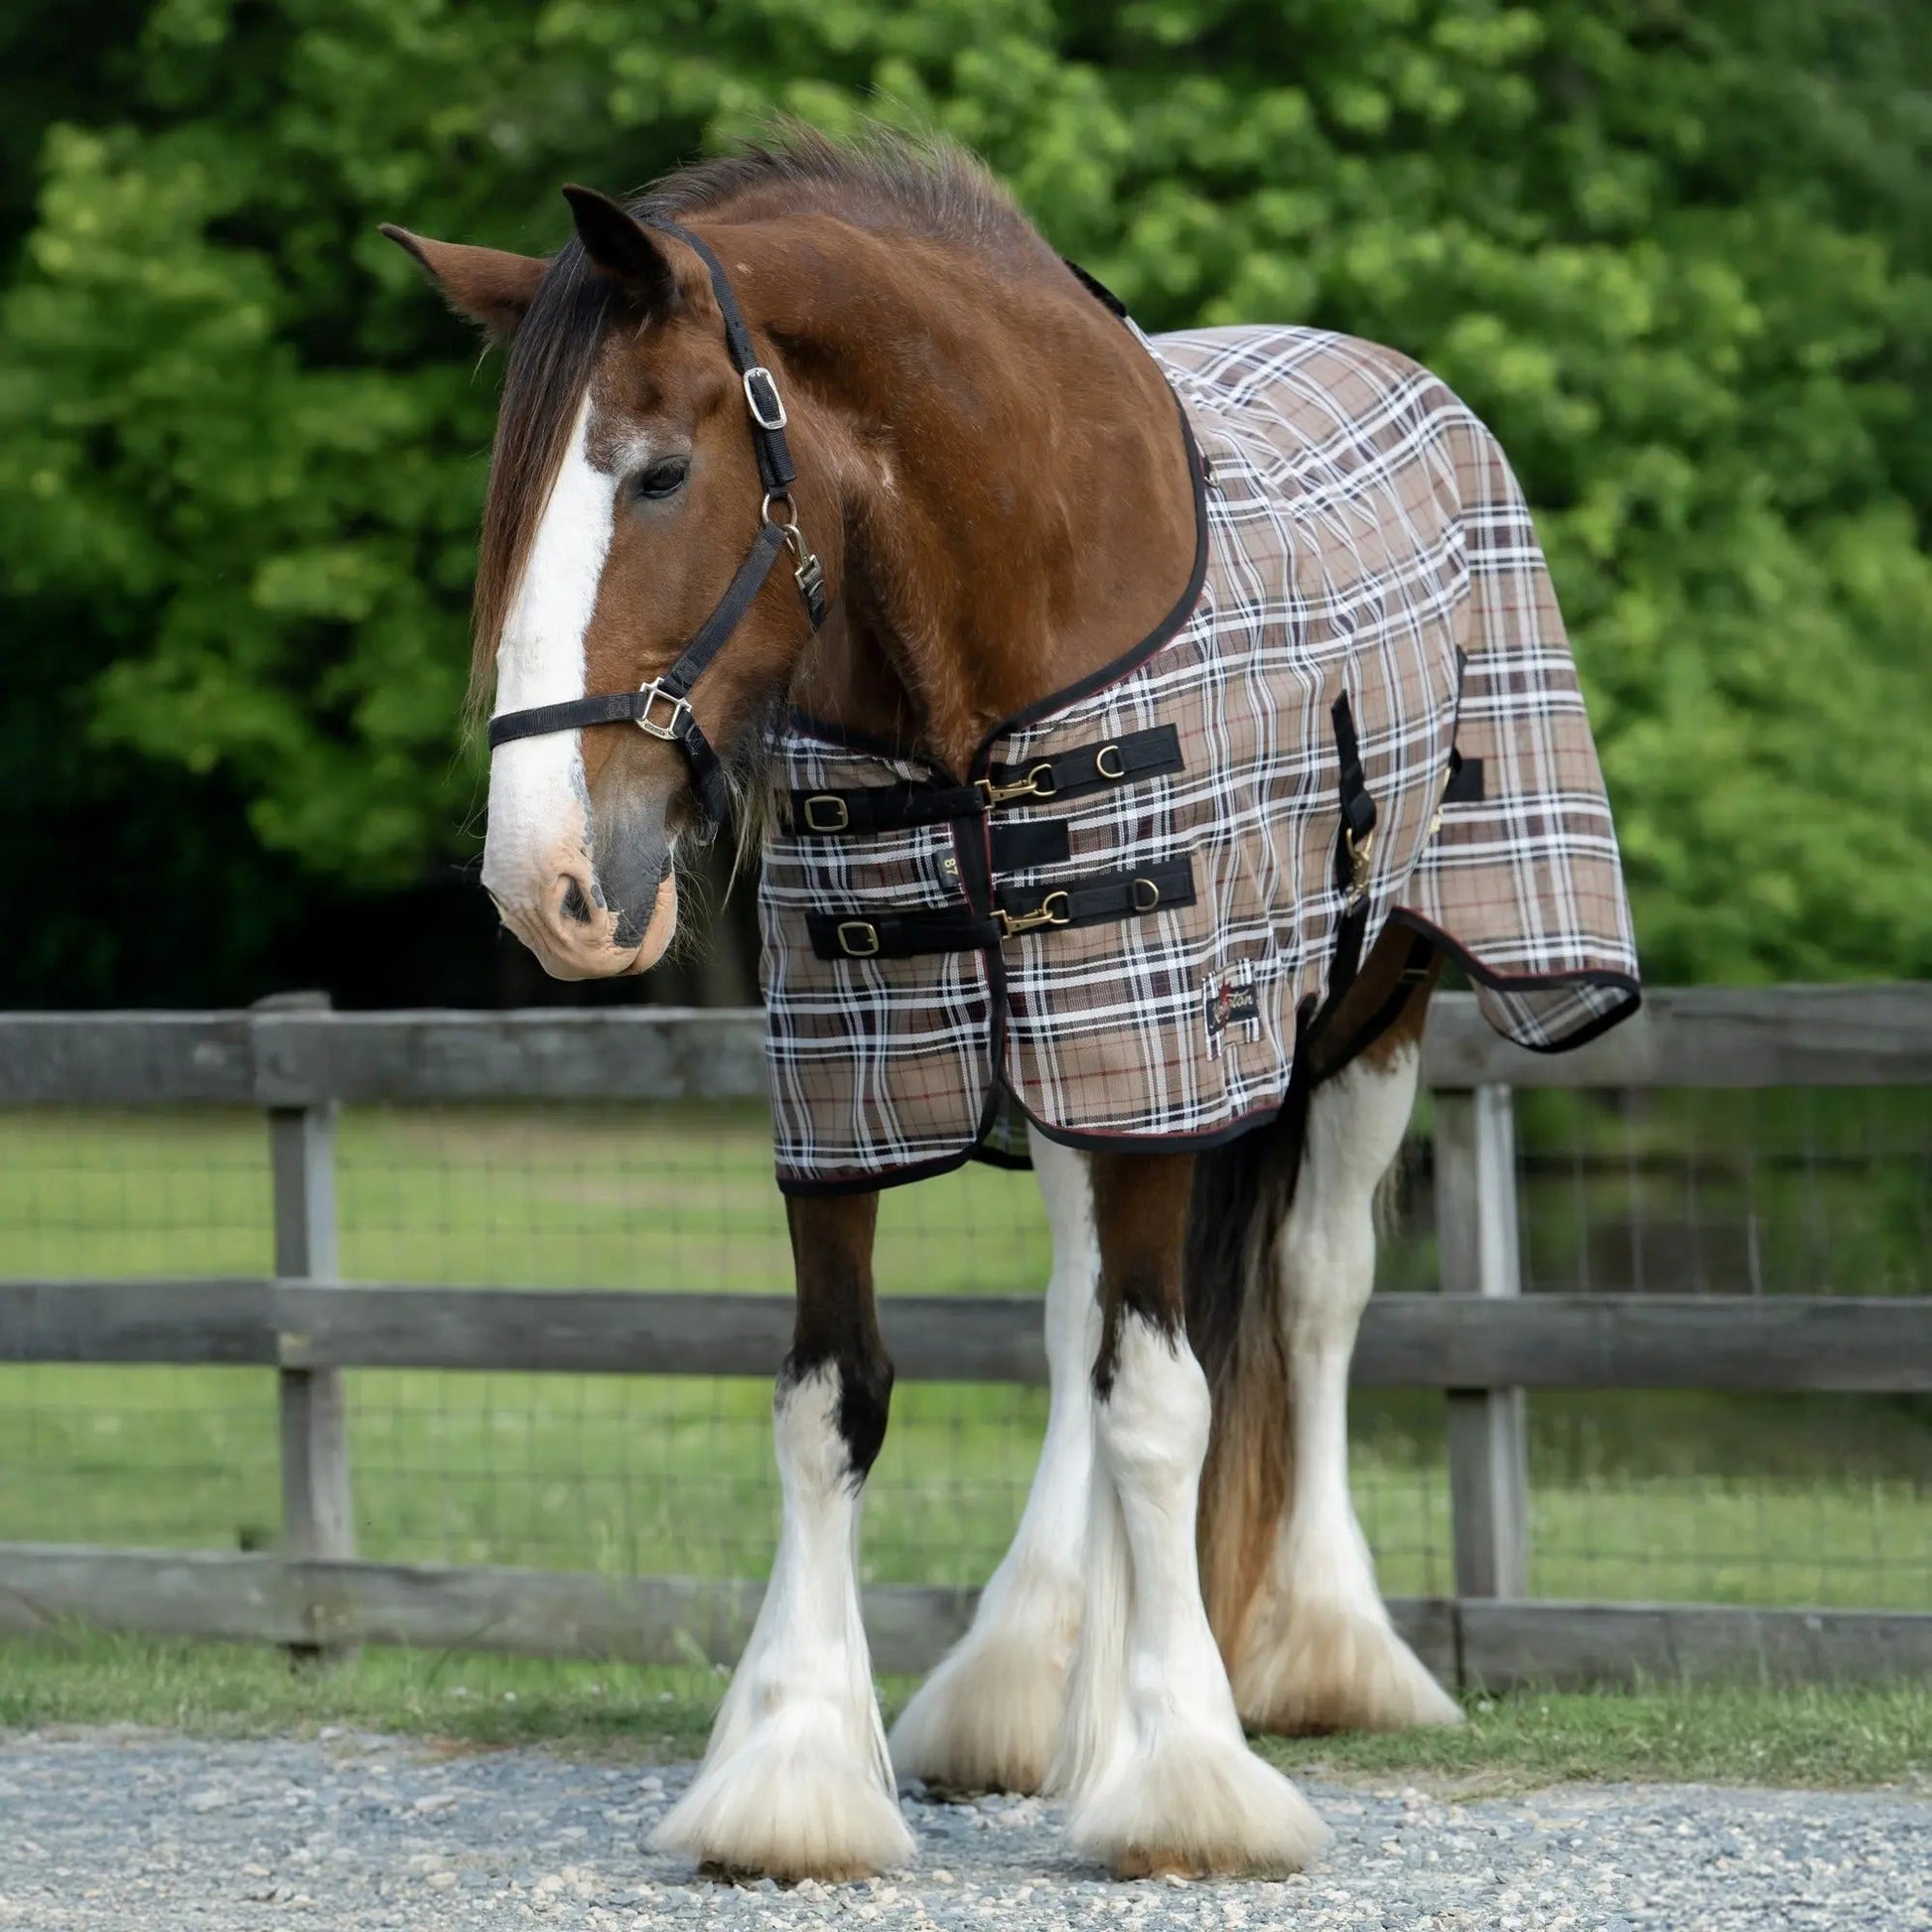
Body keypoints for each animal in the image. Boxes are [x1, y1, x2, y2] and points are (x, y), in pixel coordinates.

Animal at [385, 124, 1638, 1884]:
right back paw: (1037, 1675)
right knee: (1075, 1319)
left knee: (1309, 1296)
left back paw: (1324, 1653)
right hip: (1050, 1062)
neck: (977, 643)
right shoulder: (852, 1081)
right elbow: (834, 1400)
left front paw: (1183, 1772)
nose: (545, 877)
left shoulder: (1158, 1058)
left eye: (659, 476)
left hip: (1367, 1010)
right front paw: (794, 1769)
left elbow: (1163, 1405)